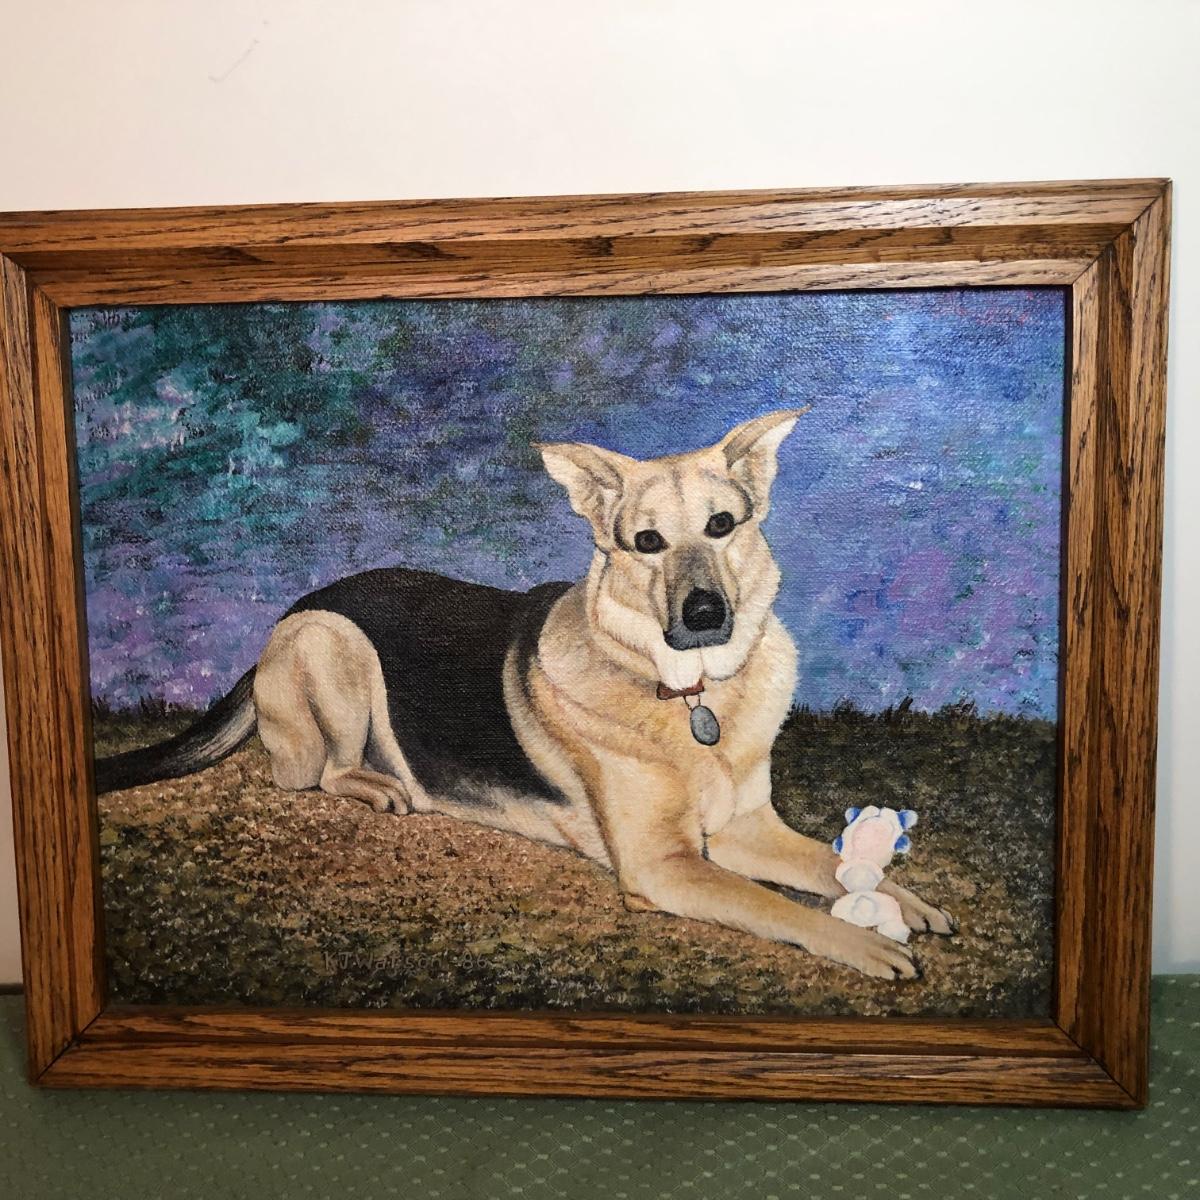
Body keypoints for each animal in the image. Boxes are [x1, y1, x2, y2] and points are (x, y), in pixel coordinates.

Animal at [96, 409, 951, 979]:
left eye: (721, 525)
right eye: (647, 542)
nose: (706, 614)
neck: (689, 699)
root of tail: (287, 617)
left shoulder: (743, 830)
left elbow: (831, 864)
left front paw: (895, 898)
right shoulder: (665, 865)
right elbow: (777, 904)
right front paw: (861, 940)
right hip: (335, 651)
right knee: (308, 773)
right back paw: (380, 786)